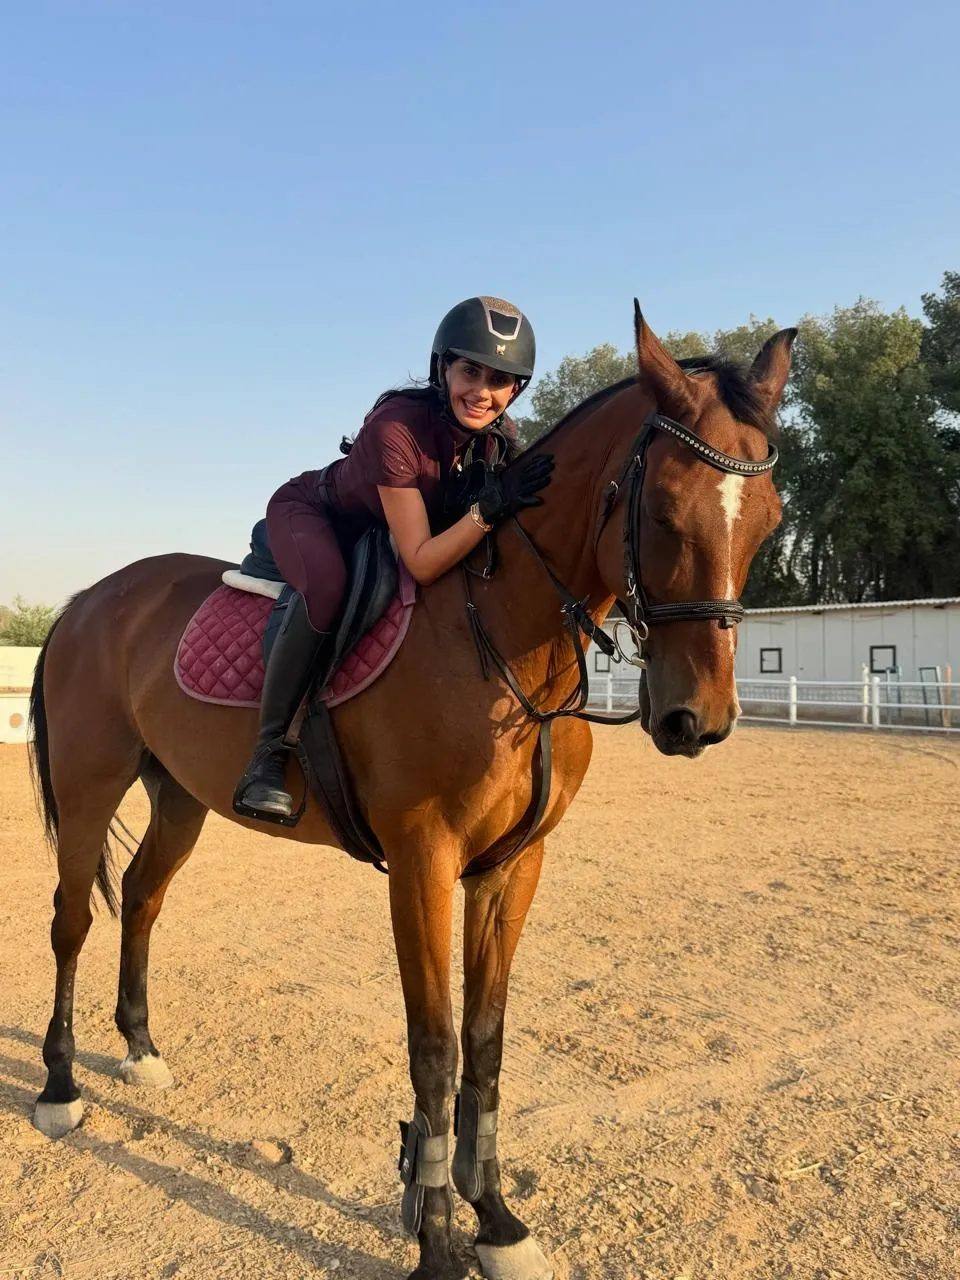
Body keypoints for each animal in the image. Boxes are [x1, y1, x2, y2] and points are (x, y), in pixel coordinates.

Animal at [27, 305, 794, 1280]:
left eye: (769, 520)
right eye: (660, 509)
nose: (700, 719)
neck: (501, 636)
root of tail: (89, 598)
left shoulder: (512, 867)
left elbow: (486, 1040)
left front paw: (496, 1218)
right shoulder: (422, 862)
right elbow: (433, 1046)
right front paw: (435, 1238)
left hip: (181, 797)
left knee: (141, 897)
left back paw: (140, 1049)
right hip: (92, 781)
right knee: (72, 919)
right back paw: (59, 1084)